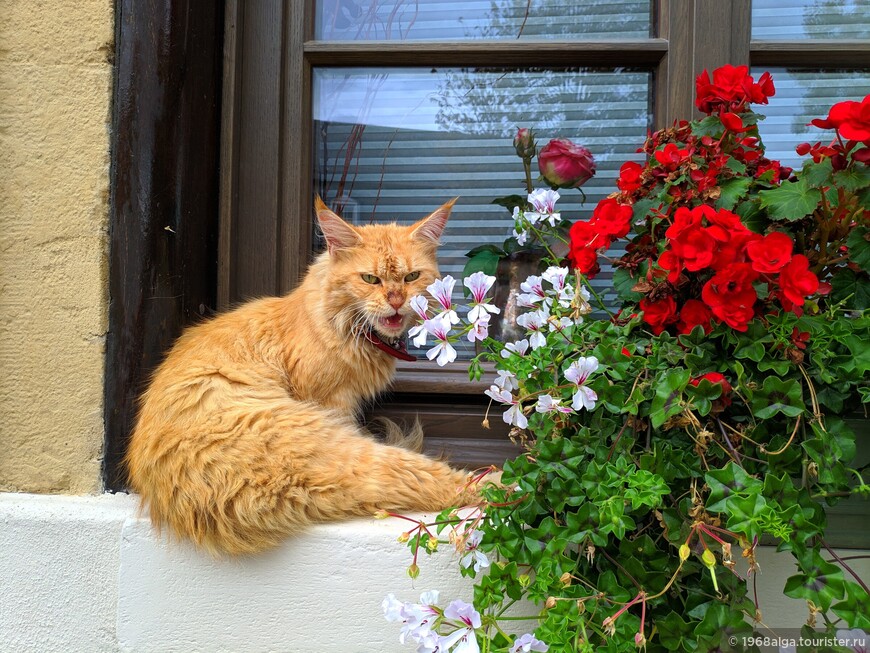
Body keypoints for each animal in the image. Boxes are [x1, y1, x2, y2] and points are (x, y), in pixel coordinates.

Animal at [123, 197, 480, 556]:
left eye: (411, 277)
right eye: (370, 279)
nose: (396, 301)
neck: (338, 323)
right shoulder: (334, 400)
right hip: (340, 447)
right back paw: (492, 486)